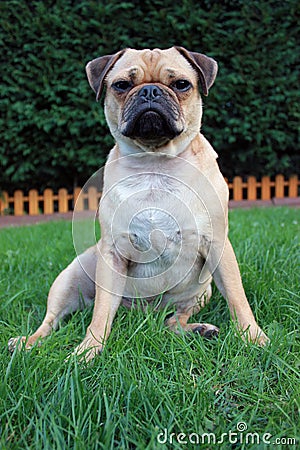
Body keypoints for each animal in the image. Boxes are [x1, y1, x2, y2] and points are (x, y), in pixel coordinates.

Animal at [7, 47, 270, 360]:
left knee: (174, 320)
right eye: (122, 85)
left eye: (182, 84)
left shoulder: (218, 245)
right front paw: (88, 351)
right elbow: (100, 314)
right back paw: (27, 343)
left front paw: (253, 337)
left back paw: (198, 330)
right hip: (70, 279)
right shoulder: (113, 254)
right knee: (51, 321)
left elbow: (237, 297)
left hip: (200, 292)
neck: (155, 164)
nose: (150, 91)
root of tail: (146, 314)